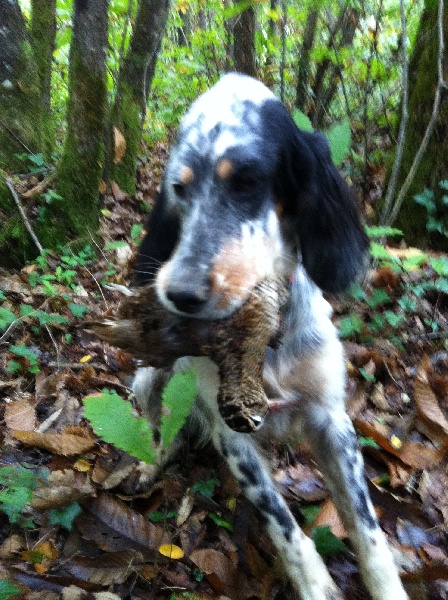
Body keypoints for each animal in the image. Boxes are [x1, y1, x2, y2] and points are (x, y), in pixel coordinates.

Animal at [131, 74, 408, 600]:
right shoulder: (233, 437)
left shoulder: (332, 420)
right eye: (178, 188)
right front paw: (317, 586)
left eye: (246, 182)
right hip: (147, 379)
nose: (178, 294)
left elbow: (367, 530)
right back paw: (151, 462)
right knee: (156, 425)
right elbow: (283, 525)